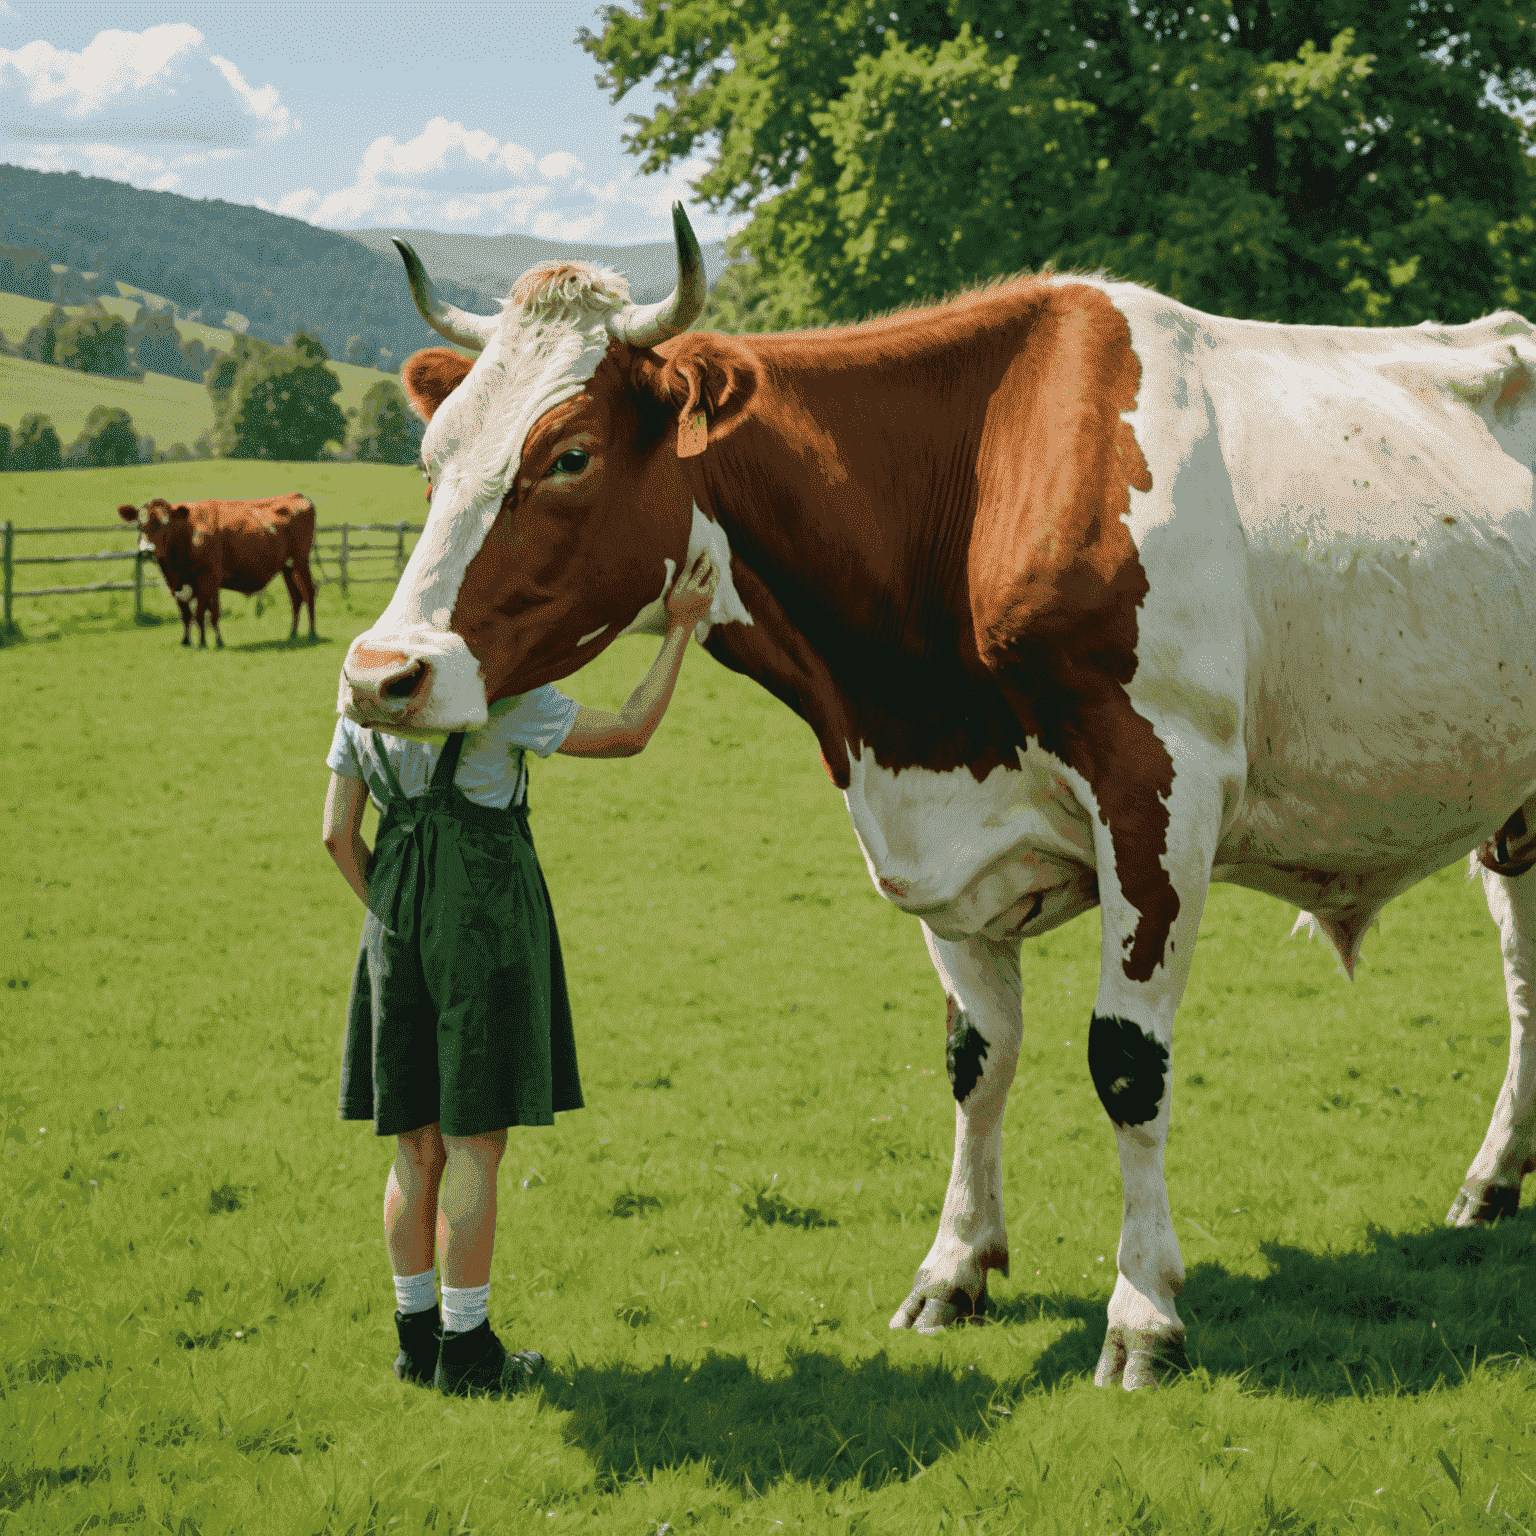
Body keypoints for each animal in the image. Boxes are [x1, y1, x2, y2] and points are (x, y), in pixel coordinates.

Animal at [119, 494, 317, 645]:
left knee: (308, 592)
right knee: (296, 598)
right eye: (139, 525)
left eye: (166, 524)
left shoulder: (208, 578)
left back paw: (312, 634)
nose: (146, 551)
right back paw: (292, 634)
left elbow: (201, 613)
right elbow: (188, 614)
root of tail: (296, 495)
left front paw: (203, 643)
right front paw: (188, 642)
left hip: (300, 560)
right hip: (287, 567)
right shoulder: (176, 584)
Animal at [336, 207, 1536, 1394]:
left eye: (569, 455)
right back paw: (1491, 1183)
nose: (382, 673)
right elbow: (977, 1060)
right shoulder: (944, 838)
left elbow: (1127, 1067)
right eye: (432, 458)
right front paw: (954, 1269)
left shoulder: (1163, 793)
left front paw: (1143, 1313)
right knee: (1525, 979)